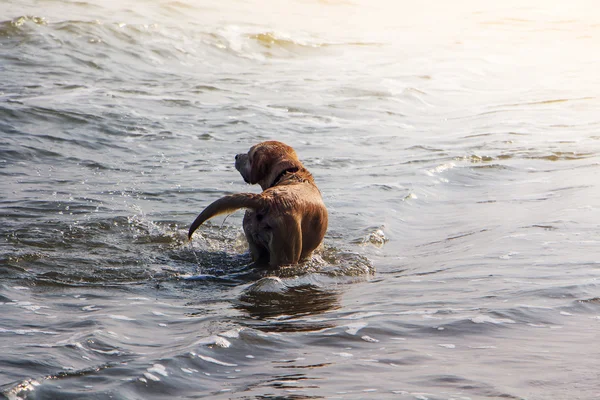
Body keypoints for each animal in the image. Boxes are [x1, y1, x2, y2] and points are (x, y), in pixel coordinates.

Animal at [189, 141, 328, 268]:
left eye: (249, 155)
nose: (236, 156)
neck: (290, 173)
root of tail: (266, 199)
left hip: (254, 244)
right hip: (286, 252)